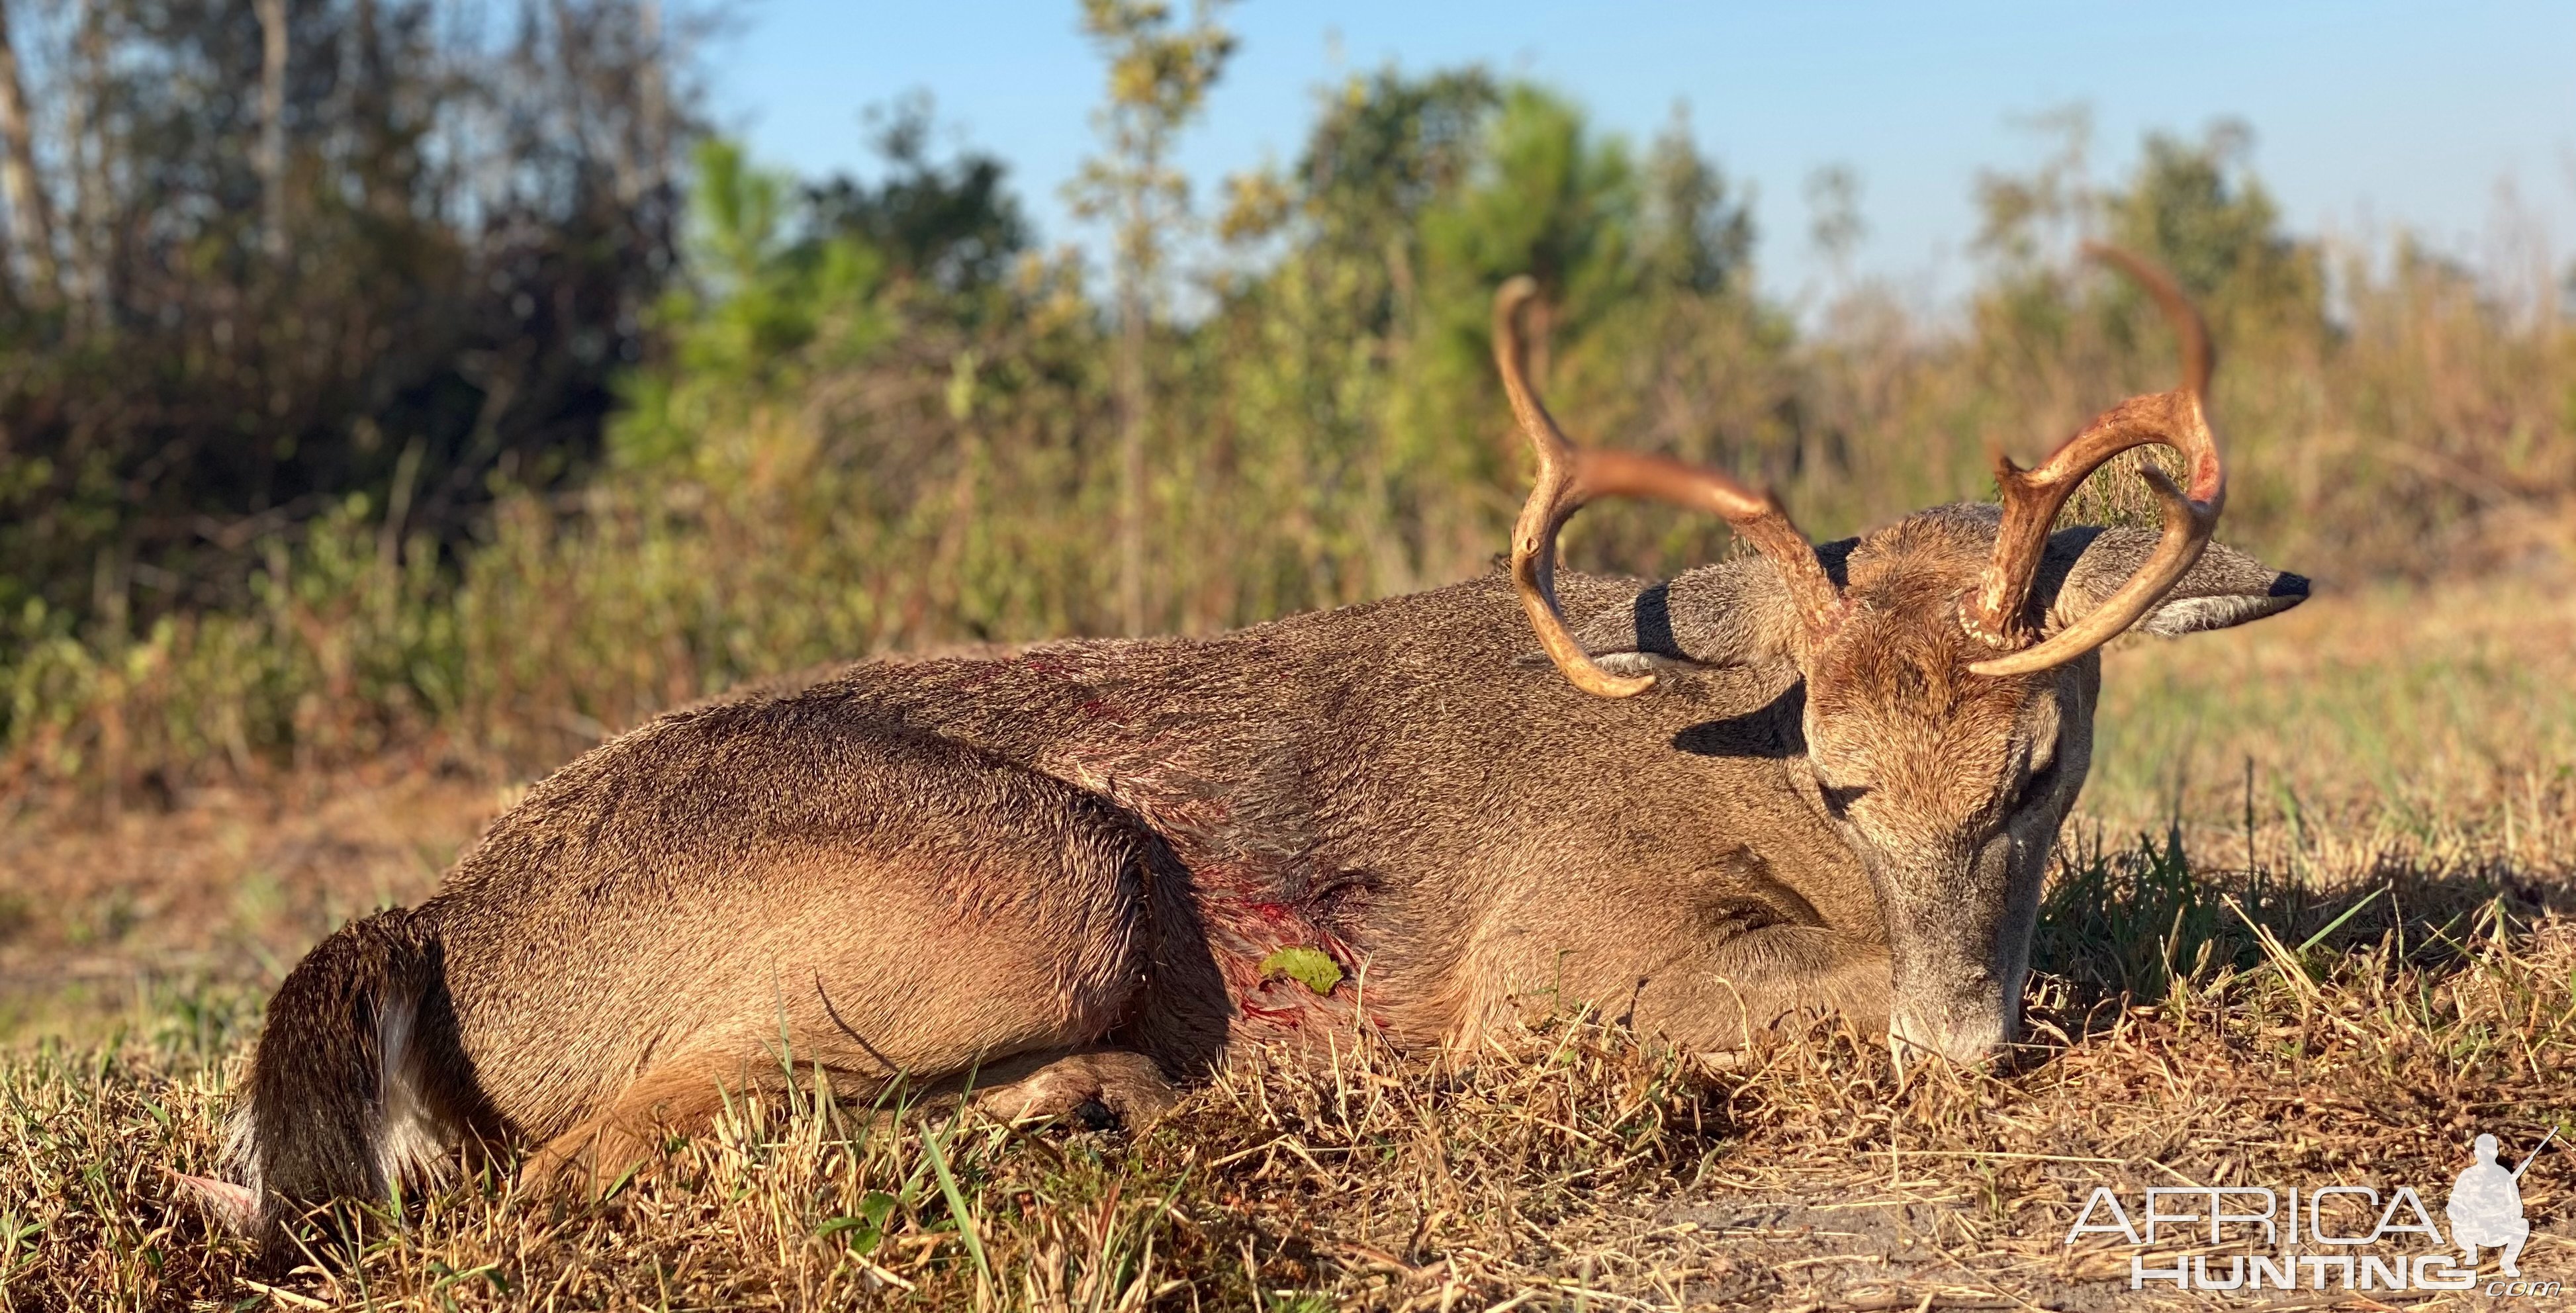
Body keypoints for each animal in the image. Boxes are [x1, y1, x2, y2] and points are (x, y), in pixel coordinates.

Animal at [187, 243, 2318, 1261]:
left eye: (2039, 769)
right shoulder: (1555, 961)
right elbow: (1840, 994)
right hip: (1024, 882)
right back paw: (1119, 1102)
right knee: (573, 1171)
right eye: (1841, 779)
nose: (1969, 1036)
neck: (1721, 755)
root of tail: (447, 918)